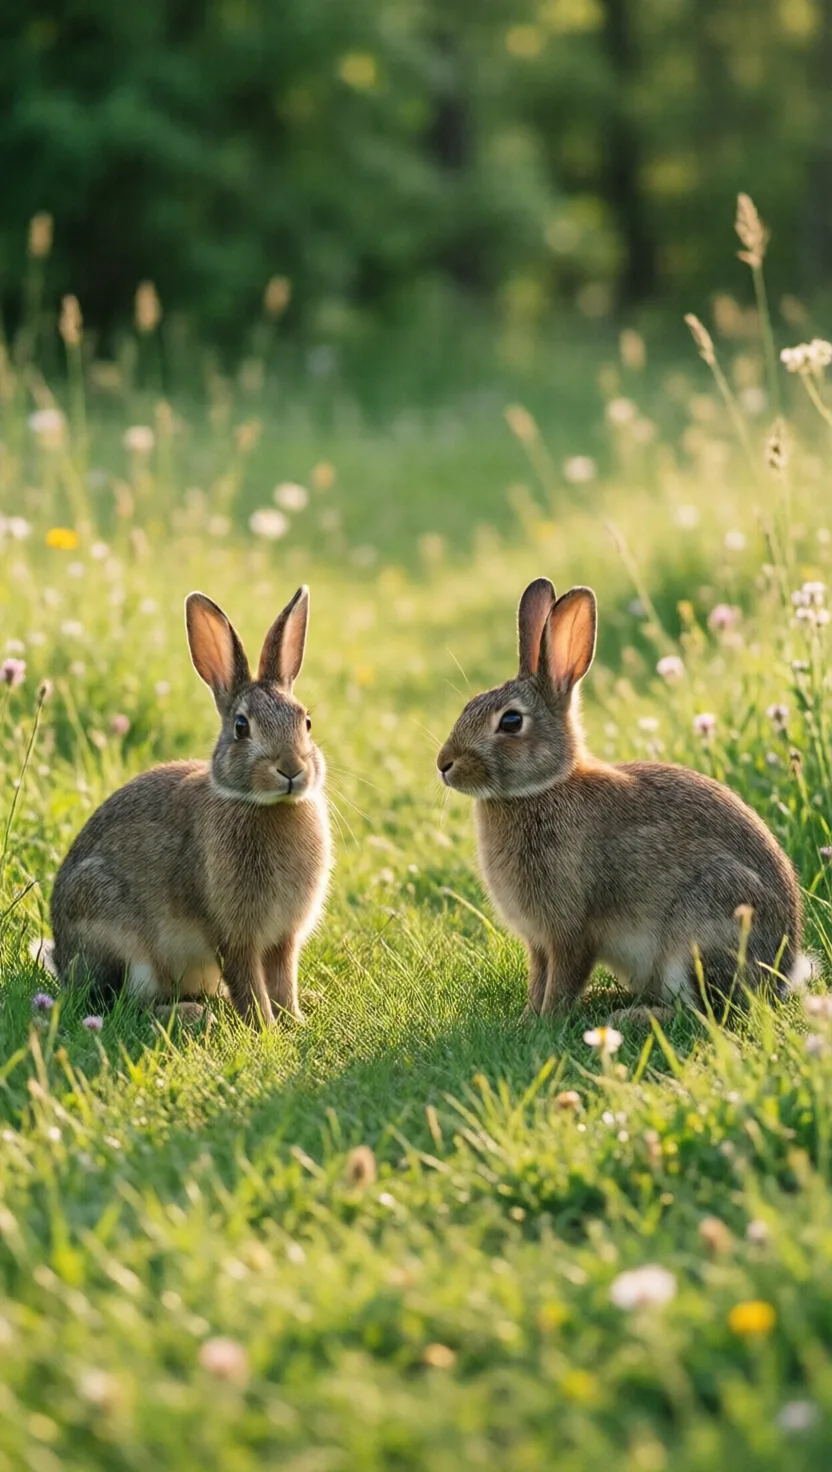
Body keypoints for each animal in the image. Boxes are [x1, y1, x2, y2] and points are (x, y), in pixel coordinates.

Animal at [49, 585, 330, 1026]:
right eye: (241, 727)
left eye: (306, 723)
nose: (291, 769)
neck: (268, 805)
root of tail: (61, 960)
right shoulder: (234, 933)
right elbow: (249, 982)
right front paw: (265, 1027)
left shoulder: (283, 937)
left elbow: (283, 980)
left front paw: (295, 1021)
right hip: (120, 937)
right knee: (125, 1006)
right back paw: (193, 1016)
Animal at [436, 576, 804, 1018]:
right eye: (469, 706)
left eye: (510, 721)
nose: (443, 764)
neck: (542, 788)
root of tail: (782, 975)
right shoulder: (539, 942)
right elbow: (538, 980)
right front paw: (528, 1019)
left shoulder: (571, 931)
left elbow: (561, 980)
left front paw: (548, 1021)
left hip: (702, 930)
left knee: (704, 1013)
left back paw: (633, 1016)